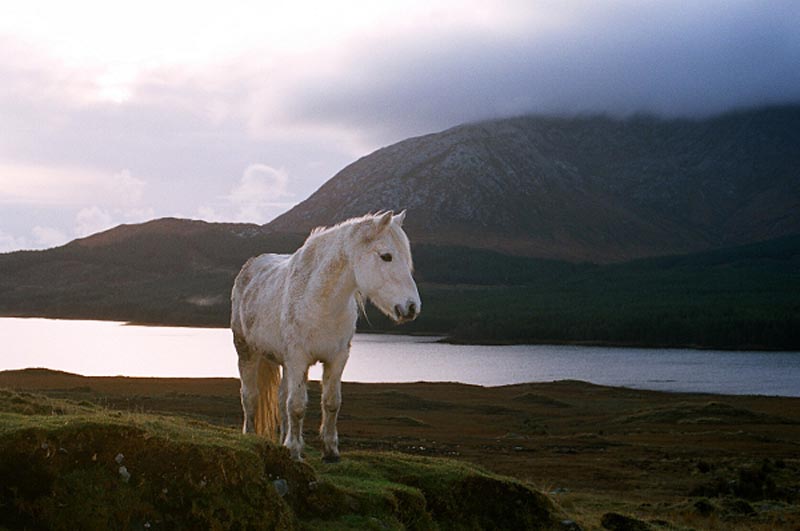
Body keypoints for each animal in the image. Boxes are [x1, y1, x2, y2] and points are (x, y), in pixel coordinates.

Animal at [231, 211, 422, 462]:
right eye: (386, 256)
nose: (411, 307)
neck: (319, 301)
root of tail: (250, 266)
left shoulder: (337, 358)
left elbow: (331, 403)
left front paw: (330, 451)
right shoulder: (298, 359)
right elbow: (297, 406)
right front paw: (294, 451)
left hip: (285, 363)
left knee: (281, 400)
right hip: (247, 352)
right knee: (249, 396)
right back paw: (252, 435)